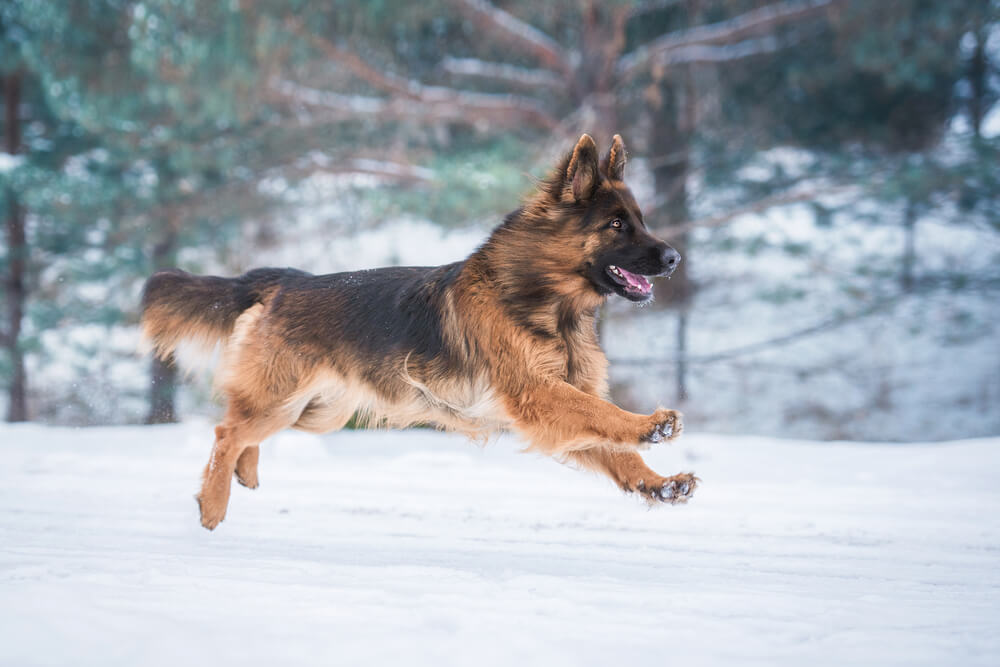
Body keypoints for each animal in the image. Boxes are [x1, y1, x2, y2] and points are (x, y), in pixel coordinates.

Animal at [143, 137, 696, 532]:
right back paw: (213, 503)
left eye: (640, 220)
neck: (543, 298)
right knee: (226, 432)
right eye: (617, 225)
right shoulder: (538, 395)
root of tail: (286, 280)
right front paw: (651, 425)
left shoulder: (553, 409)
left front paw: (659, 484)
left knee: (239, 431)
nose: (675, 259)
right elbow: (601, 414)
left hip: (314, 412)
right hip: (283, 400)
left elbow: (614, 449)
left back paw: (246, 471)